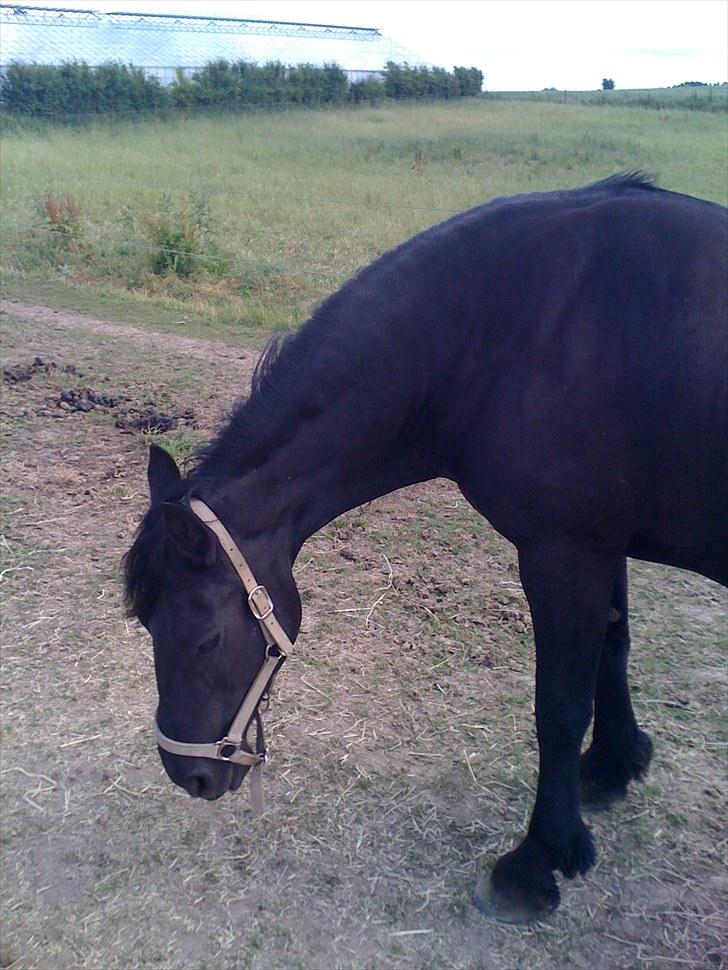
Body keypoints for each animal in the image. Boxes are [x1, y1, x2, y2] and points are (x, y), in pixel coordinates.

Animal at [125, 174, 728, 924]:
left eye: (205, 639)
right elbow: (613, 653)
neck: (516, 330)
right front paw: (614, 768)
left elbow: (559, 708)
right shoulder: (600, 545)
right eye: (145, 623)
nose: (189, 774)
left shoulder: (563, 553)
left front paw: (536, 863)